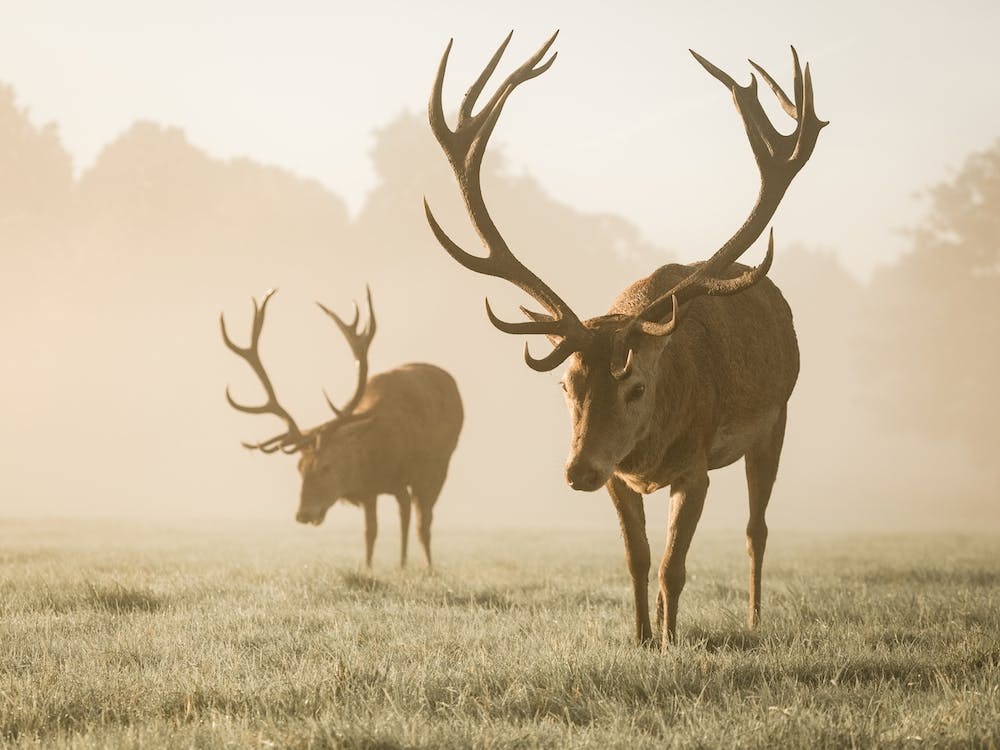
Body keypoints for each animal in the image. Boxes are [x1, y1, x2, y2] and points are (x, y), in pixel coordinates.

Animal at [220, 287, 463, 569]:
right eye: (299, 468)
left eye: (326, 467)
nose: (303, 514)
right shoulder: (371, 488)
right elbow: (370, 531)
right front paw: (368, 567)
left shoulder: (405, 477)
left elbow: (405, 523)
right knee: (405, 512)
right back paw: (402, 564)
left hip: (440, 465)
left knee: (423, 521)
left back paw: (427, 565)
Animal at [423, 32, 825, 649]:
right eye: (567, 386)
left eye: (634, 385)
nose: (577, 471)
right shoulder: (619, 476)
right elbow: (638, 559)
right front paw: (641, 637)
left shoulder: (695, 468)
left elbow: (673, 566)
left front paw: (671, 641)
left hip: (777, 418)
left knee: (756, 527)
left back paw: (755, 617)